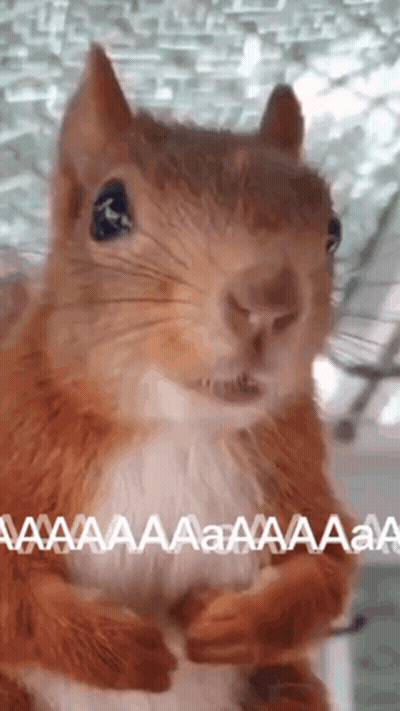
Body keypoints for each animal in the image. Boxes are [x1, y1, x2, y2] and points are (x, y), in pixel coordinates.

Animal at [0, 44, 357, 711]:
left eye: (333, 231)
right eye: (108, 210)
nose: (268, 304)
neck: (176, 427)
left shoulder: (298, 475)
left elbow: (324, 567)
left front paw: (233, 620)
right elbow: (12, 595)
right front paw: (121, 647)